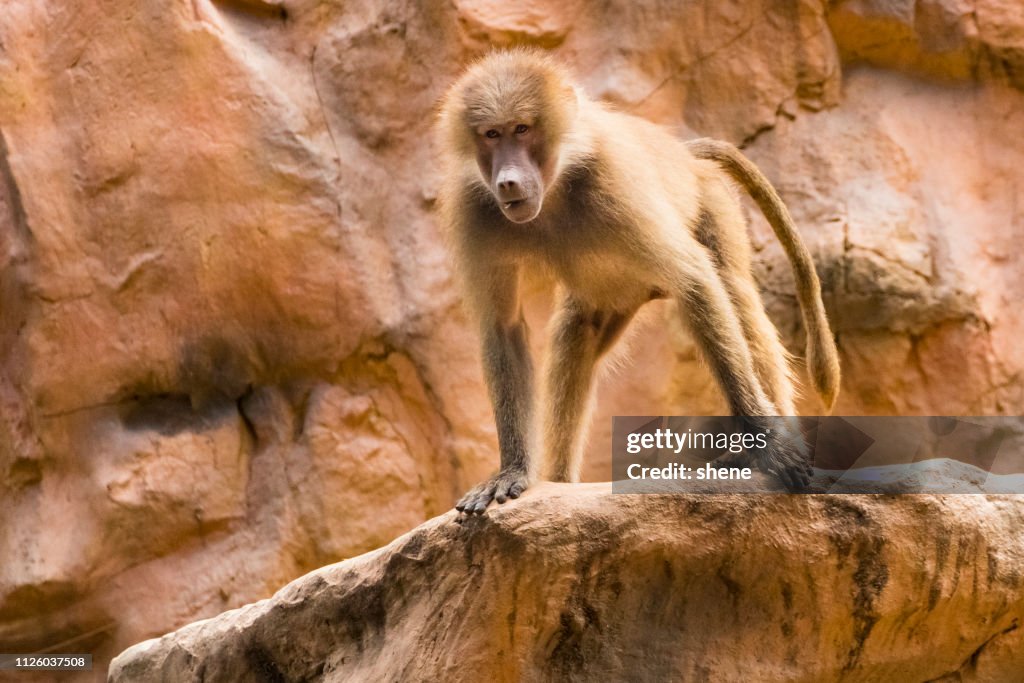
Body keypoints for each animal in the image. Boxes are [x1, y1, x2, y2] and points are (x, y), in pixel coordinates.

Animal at [435, 49, 841, 513]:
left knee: (732, 291)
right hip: (614, 295)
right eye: (491, 134)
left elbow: (694, 279)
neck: (555, 189)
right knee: (576, 334)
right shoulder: (475, 208)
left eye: (522, 129)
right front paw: (512, 472)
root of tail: (685, 156)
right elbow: (503, 328)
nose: (507, 181)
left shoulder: (615, 183)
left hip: (710, 201)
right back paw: (560, 483)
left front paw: (771, 446)